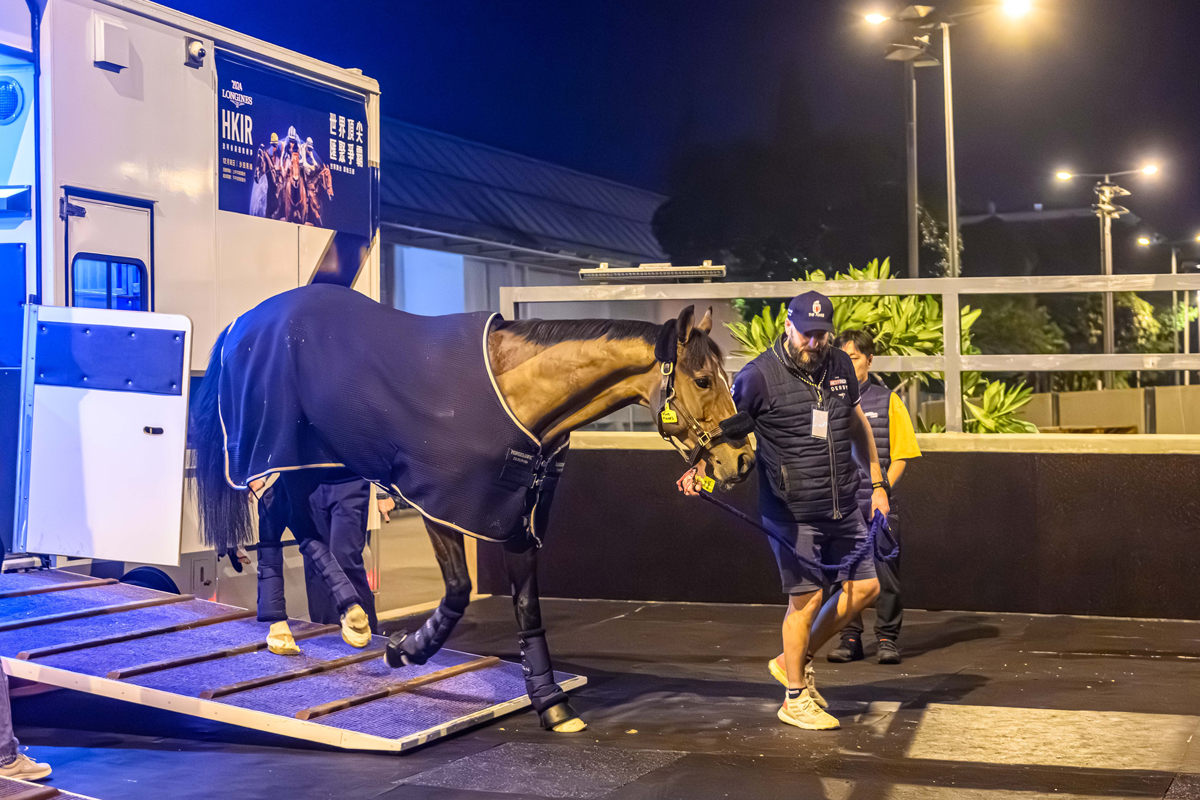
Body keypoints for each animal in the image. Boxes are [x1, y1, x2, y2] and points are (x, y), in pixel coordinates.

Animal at [188, 284, 753, 734]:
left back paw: (334, 620)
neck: (516, 392)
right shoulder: (441, 506)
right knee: (276, 512)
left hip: (322, 459)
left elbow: (527, 609)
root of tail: (243, 322)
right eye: (703, 379)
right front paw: (406, 649)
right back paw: (301, 626)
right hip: (280, 448)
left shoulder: (520, 518)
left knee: (288, 514)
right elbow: (459, 592)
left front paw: (551, 704)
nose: (741, 459)